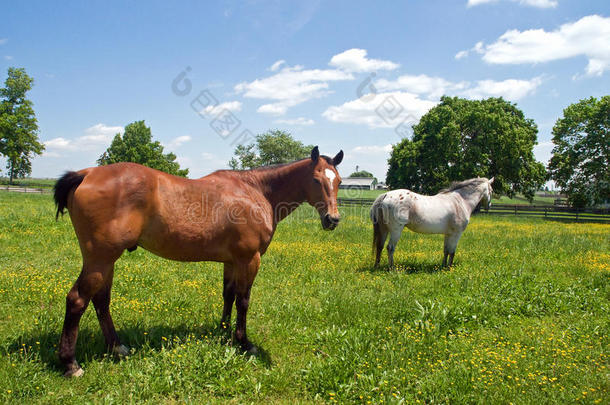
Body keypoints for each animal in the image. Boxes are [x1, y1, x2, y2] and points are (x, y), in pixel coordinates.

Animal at [53, 145, 342, 376]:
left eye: (338, 180)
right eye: (316, 180)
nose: (333, 219)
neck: (254, 191)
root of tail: (87, 173)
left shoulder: (232, 261)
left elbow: (229, 295)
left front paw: (224, 331)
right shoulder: (249, 260)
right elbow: (244, 300)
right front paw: (244, 342)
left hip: (106, 262)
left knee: (101, 300)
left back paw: (117, 347)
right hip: (100, 260)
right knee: (77, 300)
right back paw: (70, 364)